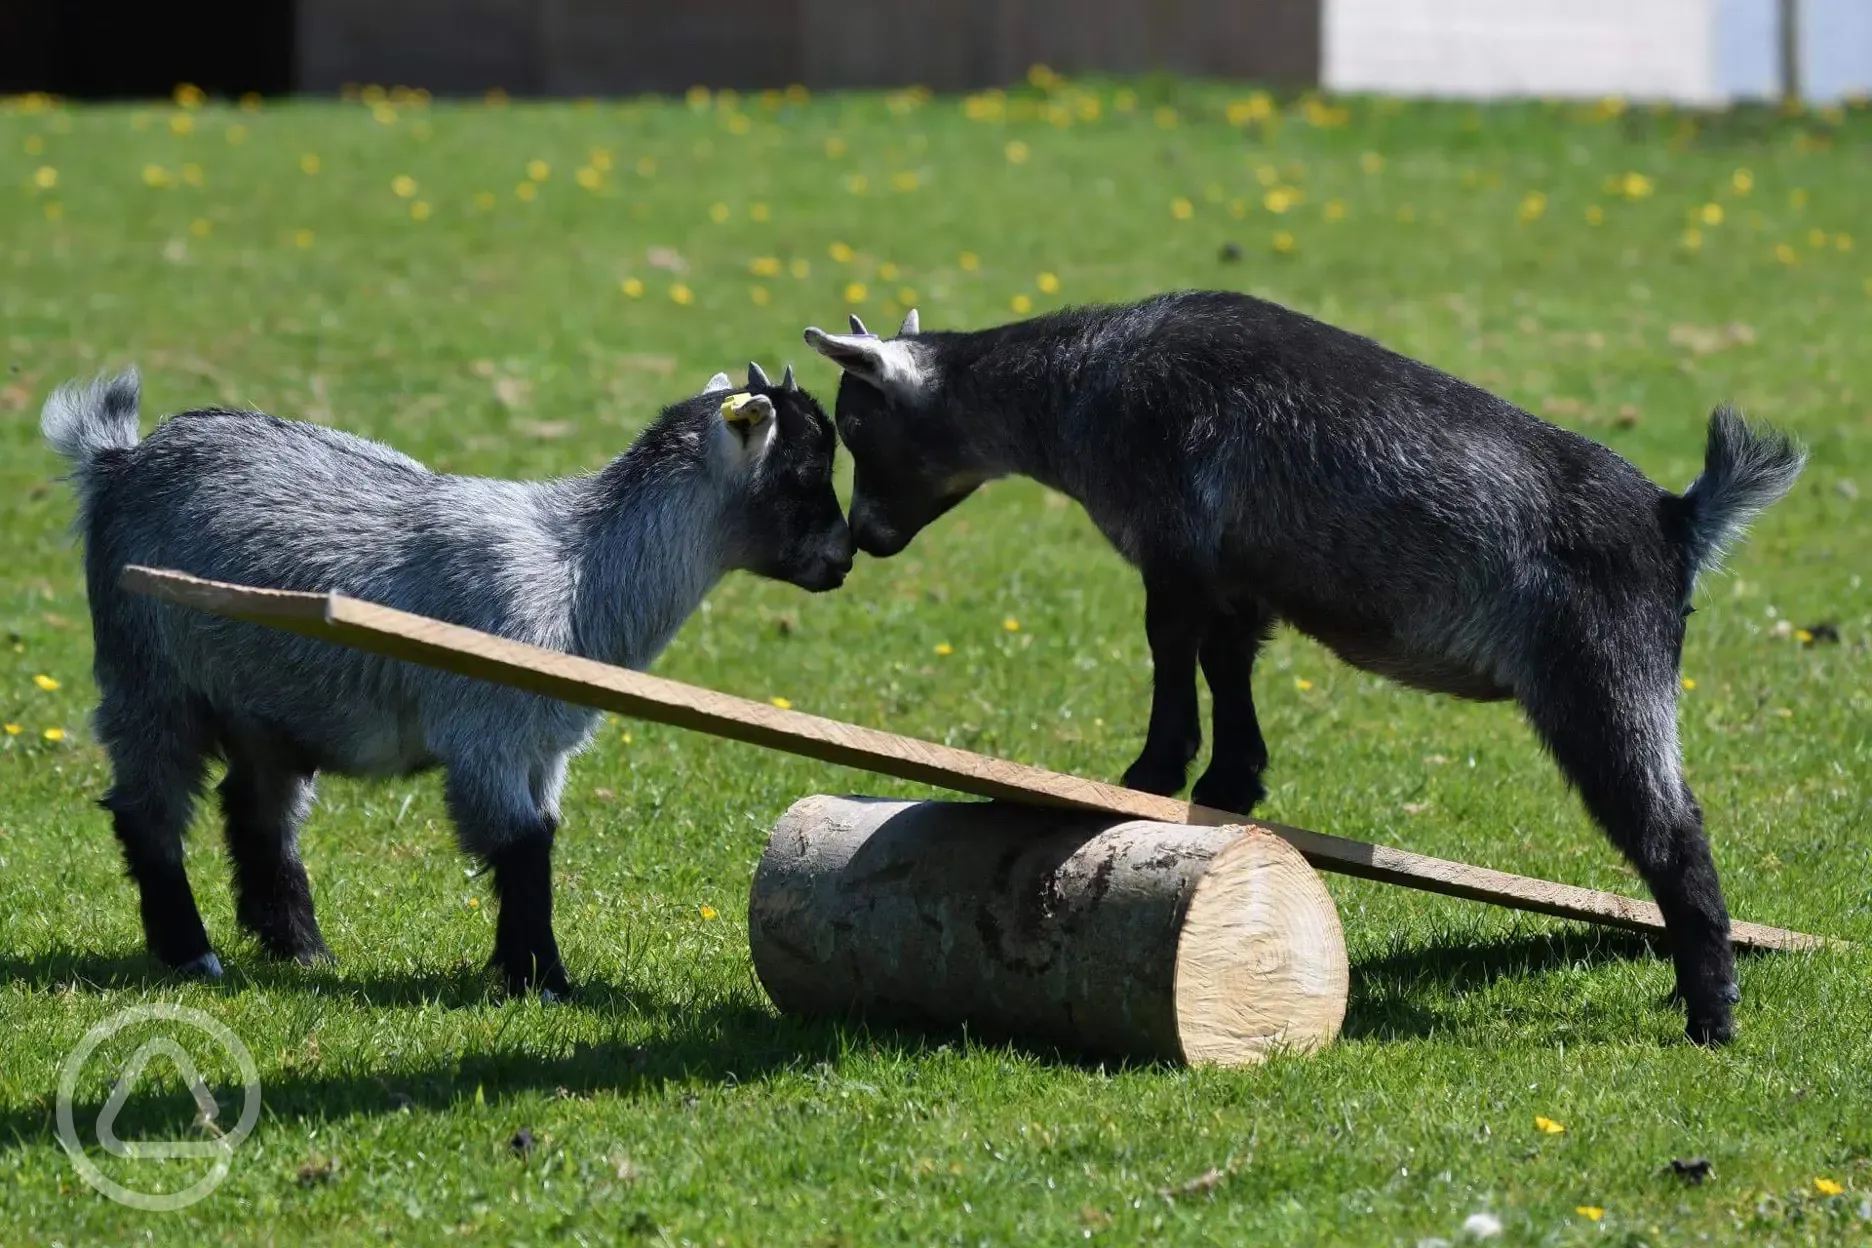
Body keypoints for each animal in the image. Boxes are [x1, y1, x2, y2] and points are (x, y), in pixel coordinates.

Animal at [45, 361, 849, 995]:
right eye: (806, 471)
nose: (843, 559)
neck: (576, 570)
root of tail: (118, 460)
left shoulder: (542, 750)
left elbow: (539, 837)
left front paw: (523, 971)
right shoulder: (487, 735)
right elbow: (520, 848)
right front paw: (545, 981)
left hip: (266, 709)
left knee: (257, 814)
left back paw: (302, 951)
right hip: (148, 679)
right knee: (147, 811)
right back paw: (192, 953)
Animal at [804, 295, 1797, 1047]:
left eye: (855, 424)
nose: (865, 541)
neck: (1090, 382)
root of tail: (1677, 520)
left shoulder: (1172, 546)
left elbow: (1172, 650)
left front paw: (1151, 775)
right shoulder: (1236, 578)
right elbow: (1227, 661)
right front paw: (1230, 784)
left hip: (1600, 680)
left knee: (1671, 831)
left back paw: (1709, 1019)